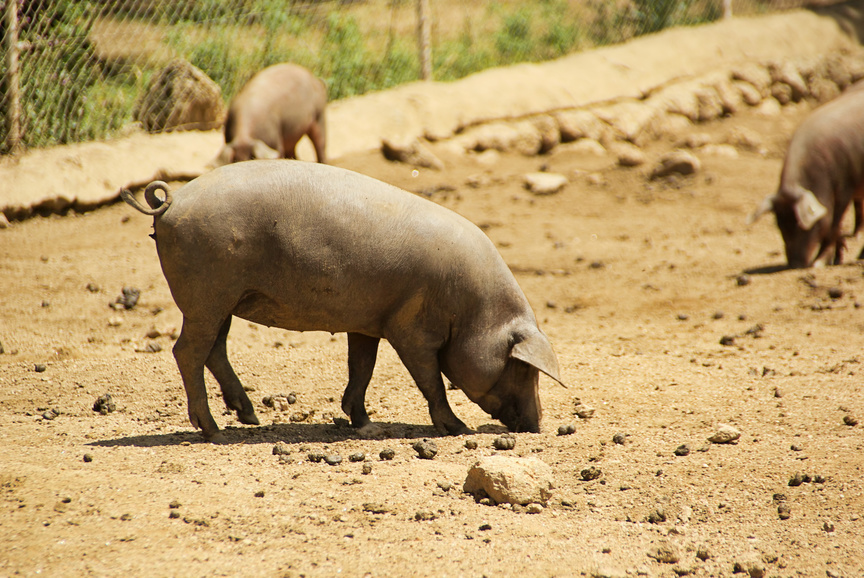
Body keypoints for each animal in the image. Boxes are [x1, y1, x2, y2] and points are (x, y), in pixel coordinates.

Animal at [123, 160, 568, 438]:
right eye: (522, 367)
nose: (538, 424)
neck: (473, 310)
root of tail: (171, 201)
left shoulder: (368, 322)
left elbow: (362, 369)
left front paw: (366, 425)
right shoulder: (411, 328)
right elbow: (430, 380)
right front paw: (458, 429)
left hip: (223, 299)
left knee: (215, 350)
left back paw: (249, 417)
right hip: (206, 293)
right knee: (187, 351)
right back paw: (214, 432)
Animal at [748, 81, 864, 268]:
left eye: (802, 225)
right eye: (779, 224)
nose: (795, 264)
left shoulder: (845, 187)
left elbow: (833, 224)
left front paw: (819, 263)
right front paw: (836, 258)